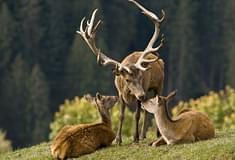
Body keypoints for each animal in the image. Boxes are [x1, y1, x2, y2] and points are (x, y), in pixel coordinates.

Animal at [77, 0, 165, 145]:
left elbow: (136, 114)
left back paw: (155, 134)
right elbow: (121, 115)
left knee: (156, 103)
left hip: (158, 85)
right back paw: (143, 135)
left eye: (141, 77)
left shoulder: (143, 89)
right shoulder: (119, 93)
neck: (127, 92)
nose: (140, 95)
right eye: (127, 80)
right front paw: (118, 140)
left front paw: (135, 138)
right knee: (148, 108)